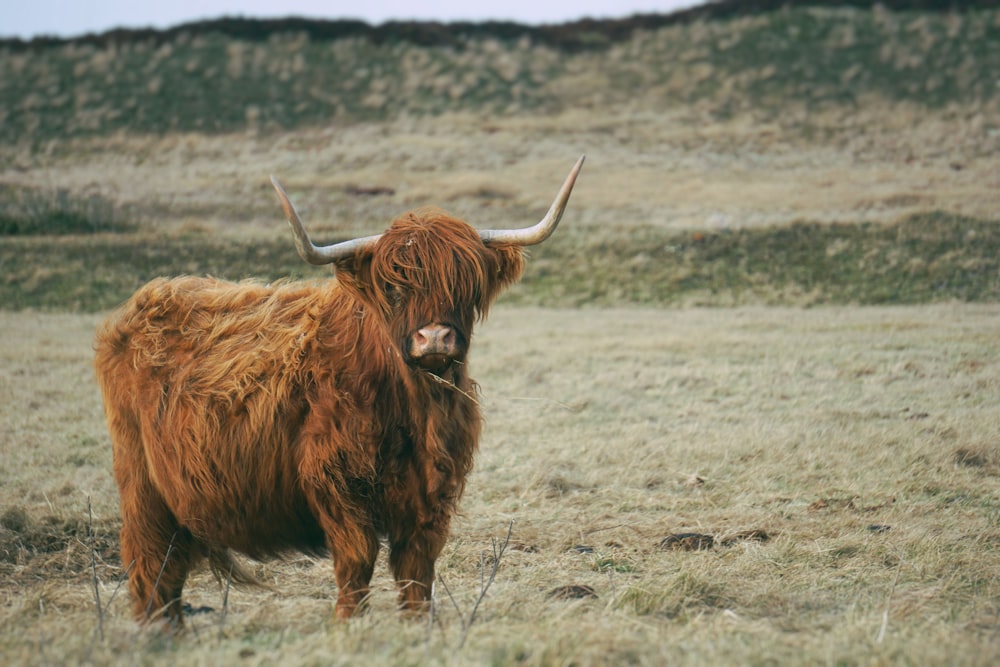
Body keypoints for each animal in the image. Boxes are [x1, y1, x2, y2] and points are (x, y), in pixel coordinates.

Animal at [94, 155, 584, 628]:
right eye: (393, 287)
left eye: (467, 285)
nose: (434, 338)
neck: (414, 411)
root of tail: (146, 300)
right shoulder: (336, 481)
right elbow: (357, 560)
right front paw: (348, 624)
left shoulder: (433, 492)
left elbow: (417, 567)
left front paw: (417, 625)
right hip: (141, 481)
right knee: (151, 561)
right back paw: (157, 634)